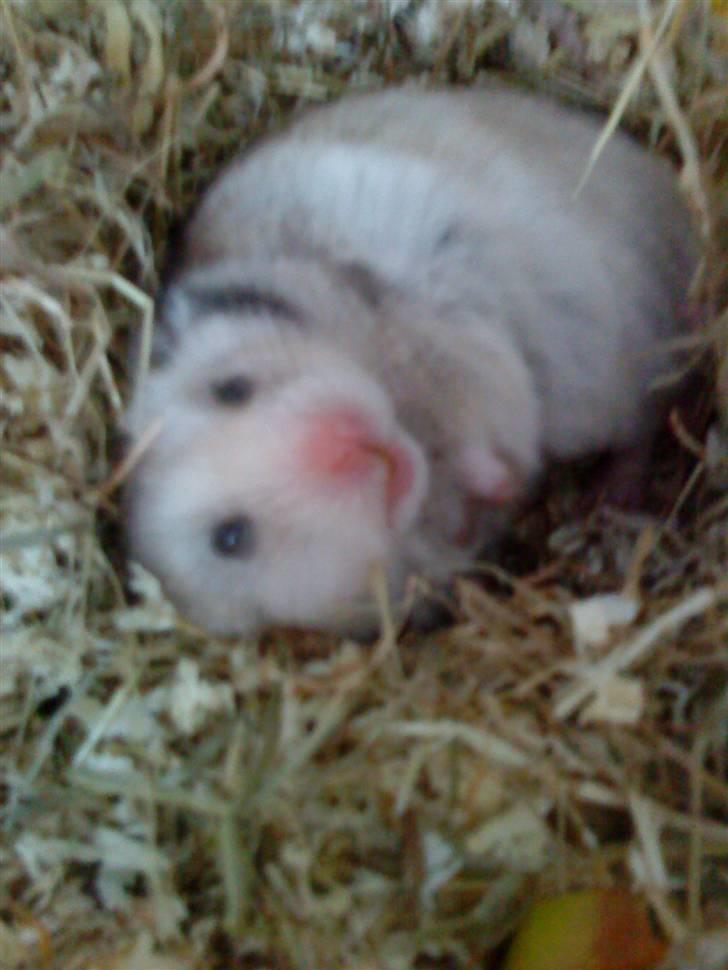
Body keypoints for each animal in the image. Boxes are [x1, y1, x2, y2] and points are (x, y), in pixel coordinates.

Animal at [123, 84, 695, 636]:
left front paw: (502, 477)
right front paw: (497, 489)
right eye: (231, 538)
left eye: (231, 388)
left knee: (647, 422)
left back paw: (611, 498)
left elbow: (478, 411)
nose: (349, 444)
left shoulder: (431, 328)